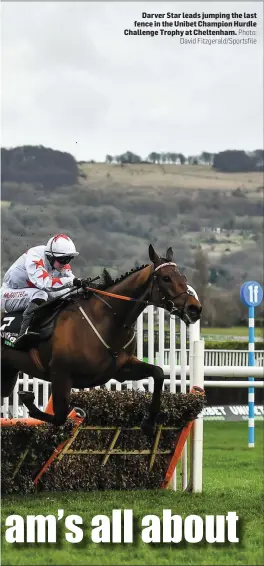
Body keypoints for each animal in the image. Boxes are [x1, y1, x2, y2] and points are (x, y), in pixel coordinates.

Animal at [0, 246, 202, 438]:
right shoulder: (60, 374)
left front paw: (149, 422)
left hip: (7, 376)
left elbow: (158, 373)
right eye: (166, 278)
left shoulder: (119, 369)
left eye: (183, 277)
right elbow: (60, 417)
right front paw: (29, 400)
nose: (195, 309)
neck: (107, 320)